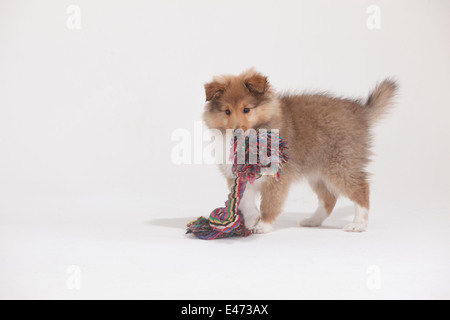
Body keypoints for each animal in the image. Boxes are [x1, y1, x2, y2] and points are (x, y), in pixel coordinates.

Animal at [202, 69, 396, 232]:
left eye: (246, 109)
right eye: (227, 111)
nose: (235, 132)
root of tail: (361, 112)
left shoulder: (277, 178)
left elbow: (269, 203)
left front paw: (263, 225)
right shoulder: (235, 176)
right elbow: (244, 201)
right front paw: (251, 221)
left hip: (341, 165)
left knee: (361, 189)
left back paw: (358, 224)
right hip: (317, 173)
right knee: (329, 198)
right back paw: (313, 221)